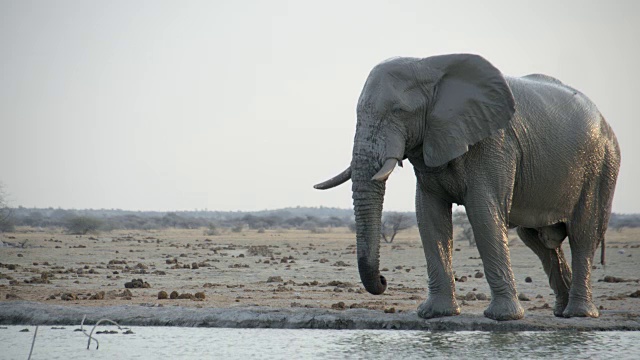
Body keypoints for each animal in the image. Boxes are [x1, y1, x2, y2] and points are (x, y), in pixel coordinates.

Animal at [316, 54, 620, 320]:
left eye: (399, 111)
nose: (383, 279)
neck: (429, 66)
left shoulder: (494, 143)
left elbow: (483, 212)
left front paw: (503, 319)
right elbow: (429, 215)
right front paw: (435, 314)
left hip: (602, 166)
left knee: (583, 234)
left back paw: (579, 314)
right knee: (538, 241)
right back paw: (561, 311)